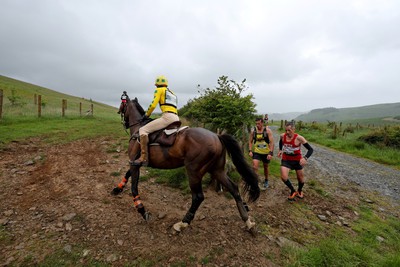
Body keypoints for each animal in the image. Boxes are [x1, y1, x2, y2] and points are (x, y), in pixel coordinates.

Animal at [114, 94, 260, 232]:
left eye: (122, 105)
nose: (120, 115)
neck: (139, 128)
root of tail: (217, 136)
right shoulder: (135, 162)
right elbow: (127, 174)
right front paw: (118, 188)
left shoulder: (134, 162)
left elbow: (134, 188)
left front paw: (142, 211)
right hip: (216, 170)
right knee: (234, 189)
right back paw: (247, 221)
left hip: (194, 171)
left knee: (198, 197)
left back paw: (182, 223)